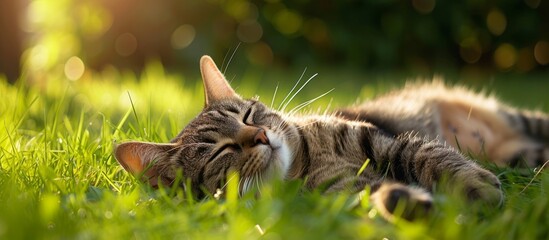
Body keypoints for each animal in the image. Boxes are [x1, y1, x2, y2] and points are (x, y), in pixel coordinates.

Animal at [113, 55, 548, 221]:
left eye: (248, 115)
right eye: (221, 151)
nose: (260, 135)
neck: (304, 161)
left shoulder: (388, 142)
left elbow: (432, 157)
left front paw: (477, 186)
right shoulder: (343, 189)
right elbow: (377, 196)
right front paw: (411, 203)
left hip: (523, 123)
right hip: (520, 154)